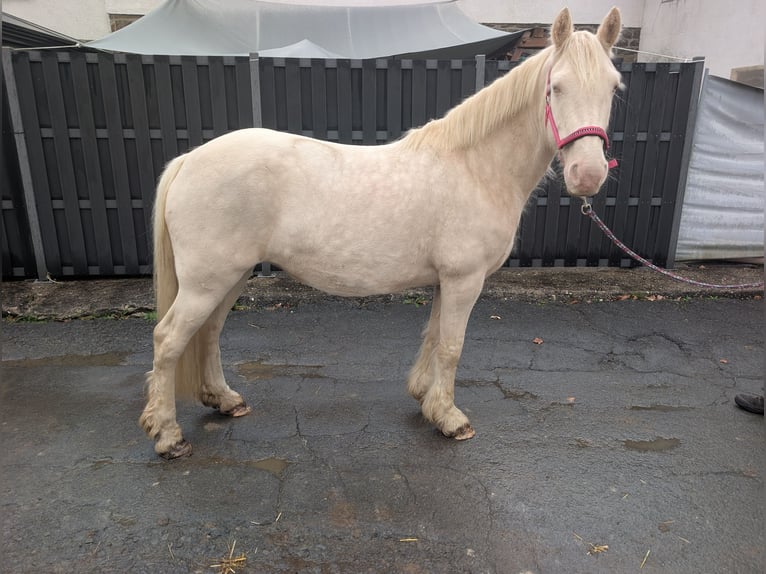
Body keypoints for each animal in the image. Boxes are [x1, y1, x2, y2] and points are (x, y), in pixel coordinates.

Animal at [140, 7, 623, 459]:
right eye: (556, 87)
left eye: (613, 88)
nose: (588, 175)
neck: (475, 167)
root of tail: (189, 159)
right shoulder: (464, 280)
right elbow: (452, 346)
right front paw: (451, 419)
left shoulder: (445, 281)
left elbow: (433, 337)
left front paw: (426, 400)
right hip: (208, 281)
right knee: (169, 340)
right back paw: (168, 436)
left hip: (229, 277)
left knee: (209, 333)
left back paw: (223, 400)